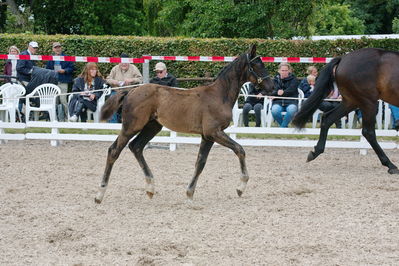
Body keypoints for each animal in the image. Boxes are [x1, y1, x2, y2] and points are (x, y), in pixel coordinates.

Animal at [94, 45, 276, 204]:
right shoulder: (214, 132)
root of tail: (130, 91)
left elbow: (200, 162)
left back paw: (150, 188)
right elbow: (240, 150)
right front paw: (240, 187)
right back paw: (99, 194)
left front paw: (189, 193)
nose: (272, 87)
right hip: (131, 126)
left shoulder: (207, 136)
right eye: (257, 65)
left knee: (136, 147)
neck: (219, 95)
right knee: (114, 151)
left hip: (152, 126)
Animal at [292, 47, 399, 175]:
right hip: (368, 102)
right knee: (368, 132)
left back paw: (315, 152)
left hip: (351, 101)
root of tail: (343, 58)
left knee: (327, 118)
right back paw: (390, 165)